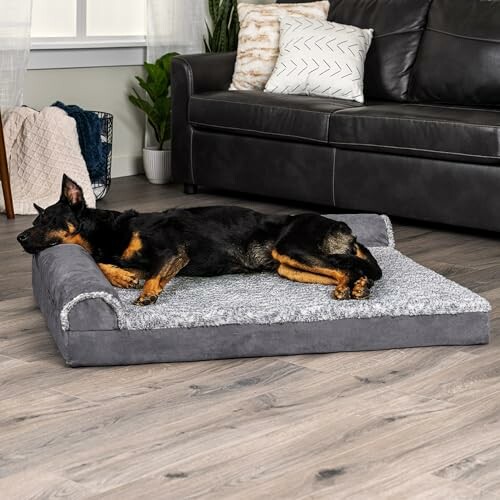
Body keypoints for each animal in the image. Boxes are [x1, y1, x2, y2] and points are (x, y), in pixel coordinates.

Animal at [16, 176, 382, 308]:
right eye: (34, 221)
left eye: (47, 220)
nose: (19, 238)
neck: (109, 231)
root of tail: (344, 226)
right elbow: (101, 262)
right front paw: (122, 276)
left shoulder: (173, 254)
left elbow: (151, 276)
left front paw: (146, 293)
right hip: (288, 267)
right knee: (348, 269)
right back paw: (355, 287)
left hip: (293, 248)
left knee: (352, 266)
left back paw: (355, 287)